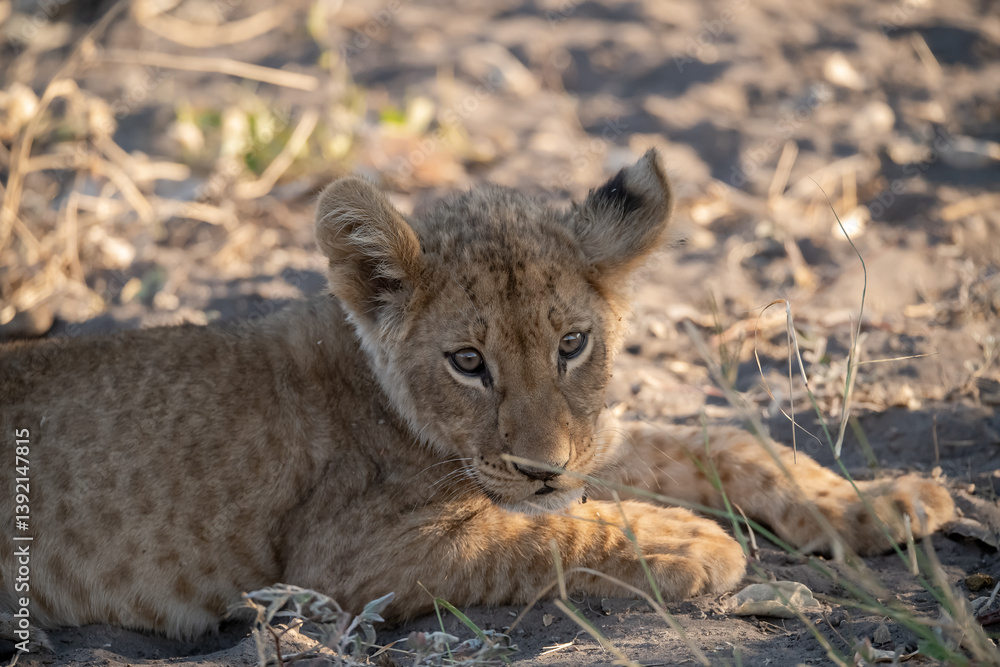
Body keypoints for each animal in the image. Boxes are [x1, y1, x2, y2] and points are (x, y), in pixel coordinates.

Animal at [0, 150, 954, 642]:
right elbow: (542, 536)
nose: (540, 468)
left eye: (572, 343)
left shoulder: (589, 439)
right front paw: (686, 539)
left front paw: (882, 500)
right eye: (467, 361)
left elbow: (728, 444)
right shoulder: (344, 560)